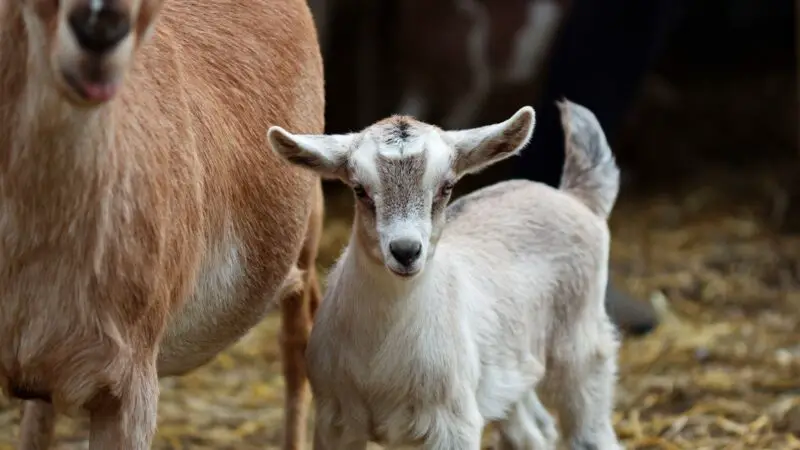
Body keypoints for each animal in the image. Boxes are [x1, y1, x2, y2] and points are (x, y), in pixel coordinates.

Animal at [268, 102, 624, 450]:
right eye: (359, 189)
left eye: (447, 187)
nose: (406, 250)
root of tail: (575, 197)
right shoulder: (336, 422)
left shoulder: (454, 424)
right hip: (507, 371)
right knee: (531, 434)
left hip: (582, 343)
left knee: (591, 429)